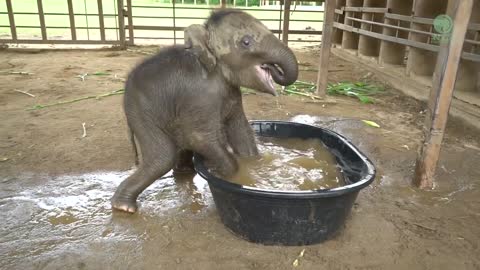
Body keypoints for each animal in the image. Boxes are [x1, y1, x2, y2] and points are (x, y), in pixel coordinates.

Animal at [114, 8, 298, 213]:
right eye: (246, 42)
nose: (272, 67)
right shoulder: (199, 96)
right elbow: (199, 137)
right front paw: (231, 176)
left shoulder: (232, 93)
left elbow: (241, 131)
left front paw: (253, 165)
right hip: (141, 112)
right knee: (162, 157)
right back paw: (123, 207)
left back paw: (183, 172)